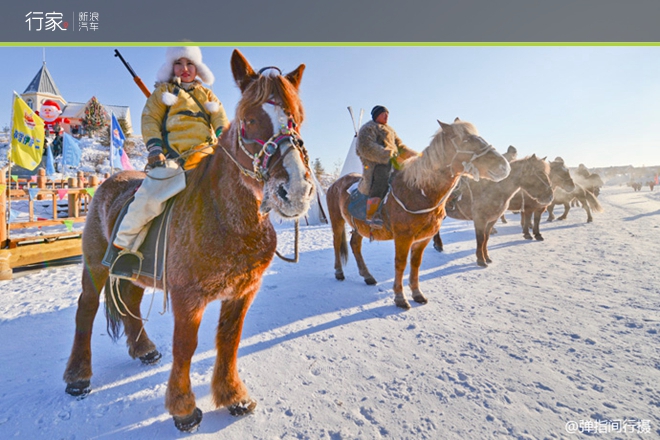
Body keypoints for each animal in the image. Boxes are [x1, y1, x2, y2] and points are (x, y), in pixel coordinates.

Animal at [62, 49, 314, 432]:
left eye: (297, 119)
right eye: (249, 120)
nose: (295, 190)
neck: (228, 219)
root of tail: (108, 182)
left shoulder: (243, 292)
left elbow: (228, 340)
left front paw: (233, 395)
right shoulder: (187, 297)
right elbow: (186, 345)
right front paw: (183, 408)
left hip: (133, 272)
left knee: (131, 301)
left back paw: (144, 348)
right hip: (95, 266)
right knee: (86, 308)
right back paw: (78, 376)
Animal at [326, 118, 510, 308]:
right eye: (466, 140)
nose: (503, 166)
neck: (418, 191)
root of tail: (336, 184)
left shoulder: (423, 238)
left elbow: (415, 264)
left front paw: (417, 293)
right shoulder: (403, 237)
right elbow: (400, 264)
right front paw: (400, 297)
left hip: (359, 226)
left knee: (355, 244)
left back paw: (367, 276)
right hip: (337, 220)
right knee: (336, 242)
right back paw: (339, 272)